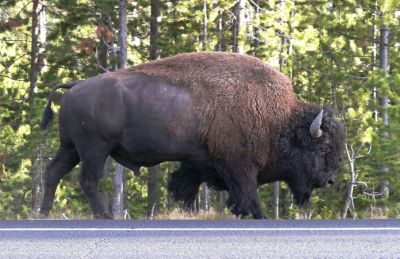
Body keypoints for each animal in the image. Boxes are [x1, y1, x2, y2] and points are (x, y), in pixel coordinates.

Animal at [39, 52, 344, 219]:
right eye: (321, 149)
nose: (329, 180)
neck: (278, 118)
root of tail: (76, 85)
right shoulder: (241, 167)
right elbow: (249, 195)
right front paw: (259, 215)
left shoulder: (199, 162)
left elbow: (186, 188)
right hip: (94, 150)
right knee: (87, 180)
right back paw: (103, 216)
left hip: (71, 147)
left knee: (54, 171)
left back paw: (43, 212)